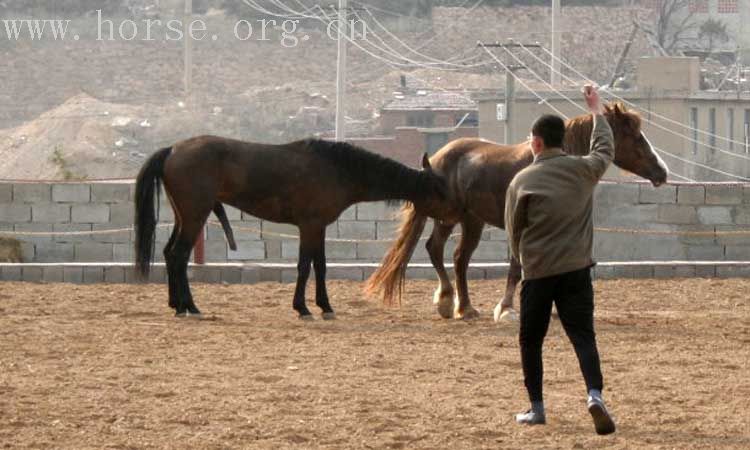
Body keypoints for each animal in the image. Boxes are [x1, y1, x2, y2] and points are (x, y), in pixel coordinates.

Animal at [135, 137, 446, 320]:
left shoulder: (318, 228)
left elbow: (320, 266)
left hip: (185, 217)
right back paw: (189, 306)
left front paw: (325, 306)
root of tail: (173, 150)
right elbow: (305, 266)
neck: (337, 169)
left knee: (169, 253)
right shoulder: (309, 226)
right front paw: (303, 307)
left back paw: (176, 304)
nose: (449, 219)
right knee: (178, 256)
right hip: (195, 217)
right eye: (440, 190)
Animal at [364, 103, 668, 320]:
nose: (661, 172)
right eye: (635, 136)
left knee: (453, 256)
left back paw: (460, 306)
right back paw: (452, 302)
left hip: (466, 220)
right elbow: (515, 266)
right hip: (453, 219)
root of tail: (435, 159)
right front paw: (506, 308)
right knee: (441, 251)